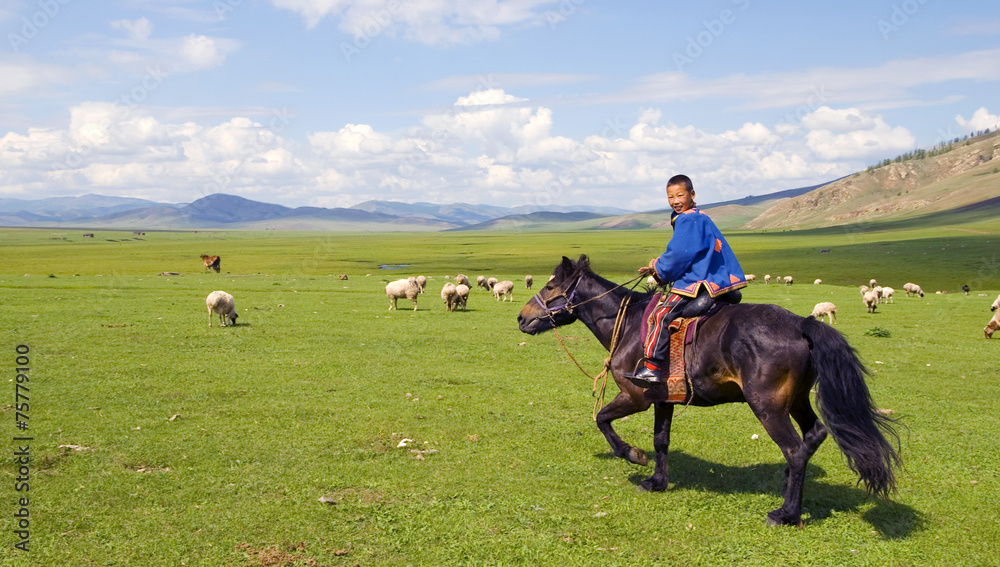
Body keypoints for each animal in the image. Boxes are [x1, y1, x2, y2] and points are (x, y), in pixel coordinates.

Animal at [520, 255, 904, 524]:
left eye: (551, 288)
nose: (523, 318)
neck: (626, 324)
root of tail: (801, 324)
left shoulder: (635, 396)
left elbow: (602, 419)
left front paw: (633, 455)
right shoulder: (663, 399)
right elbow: (661, 440)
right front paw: (657, 481)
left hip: (768, 406)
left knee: (795, 450)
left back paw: (786, 513)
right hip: (795, 400)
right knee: (815, 434)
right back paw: (786, 487)